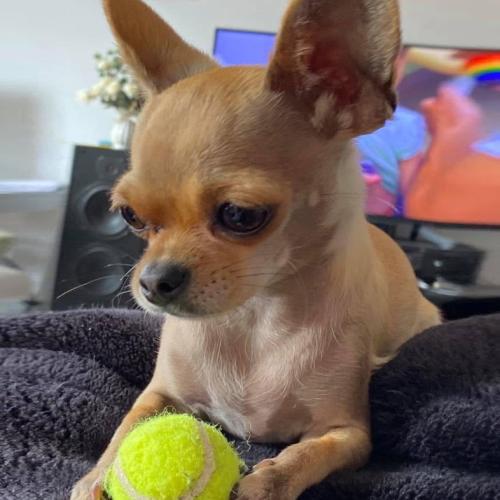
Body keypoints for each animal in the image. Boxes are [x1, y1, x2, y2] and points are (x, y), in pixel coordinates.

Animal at [71, 0, 441, 498]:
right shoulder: (160, 393)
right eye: (130, 215)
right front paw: (97, 474)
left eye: (240, 215)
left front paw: (267, 482)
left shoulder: (348, 433)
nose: (152, 282)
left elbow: (306, 455)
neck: (254, 319)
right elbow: (127, 426)